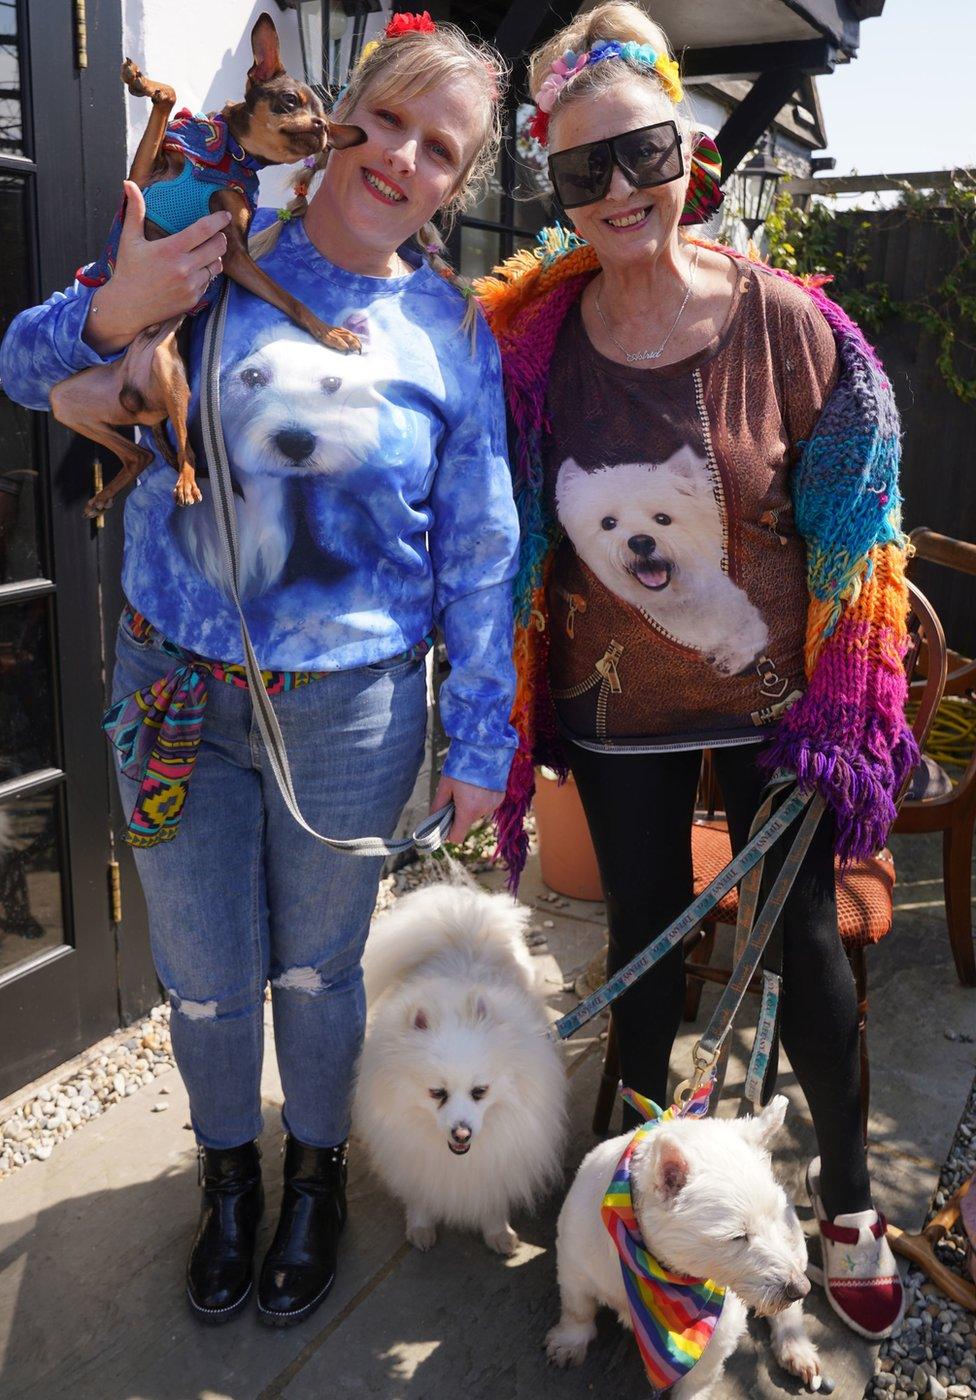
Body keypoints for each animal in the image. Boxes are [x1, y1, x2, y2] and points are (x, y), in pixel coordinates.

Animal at [351, 879, 568, 1254]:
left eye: (480, 1091)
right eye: (437, 1093)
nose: (461, 1133)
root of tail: (464, 926)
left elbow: (491, 1196)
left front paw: (499, 1233)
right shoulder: (410, 1152)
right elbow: (420, 1194)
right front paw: (421, 1227)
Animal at [543, 1097, 817, 1394]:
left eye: (776, 1218)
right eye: (738, 1236)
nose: (800, 1288)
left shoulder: (722, 1325)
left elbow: (700, 1376)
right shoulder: (573, 1263)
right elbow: (577, 1308)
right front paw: (569, 1343)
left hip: (796, 1245)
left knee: (788, 1312)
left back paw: (796, 1347)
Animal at [554, 453, 767, 677]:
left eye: (663, 519)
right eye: (608, 523)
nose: (641, 542)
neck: (670, 605)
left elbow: (754, 627)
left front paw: (730, 656)